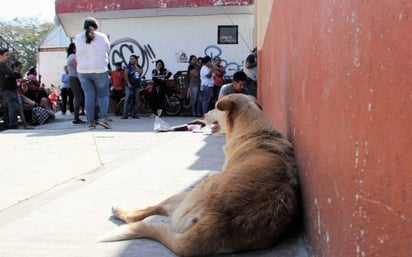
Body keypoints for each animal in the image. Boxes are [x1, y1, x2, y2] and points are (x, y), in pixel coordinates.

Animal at [100, 94, 300, 256]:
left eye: (215, 107)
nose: (204, 114)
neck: (255, 129)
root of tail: (217, 221)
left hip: (182, 197)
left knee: (150, 210)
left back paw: (121, 211)